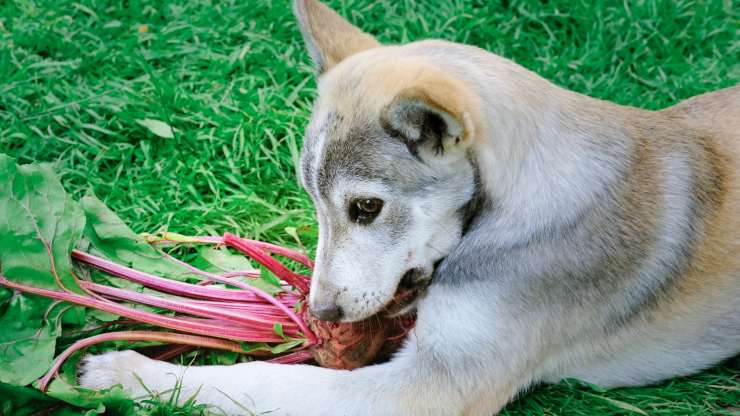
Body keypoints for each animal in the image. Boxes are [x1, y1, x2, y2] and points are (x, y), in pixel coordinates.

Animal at [78, 1, 736, 414]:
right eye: (312, 201)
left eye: (367, 207)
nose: (319, 311)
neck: (513, 206)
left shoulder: (430, 387)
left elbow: (263, 379)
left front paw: (130, 375)